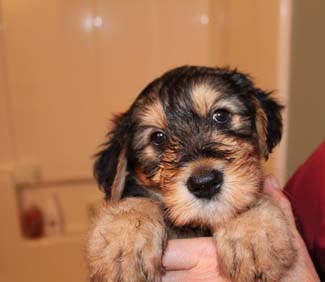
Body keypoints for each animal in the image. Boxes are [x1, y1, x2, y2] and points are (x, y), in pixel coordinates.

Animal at [86, 66, 296, 282]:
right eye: (158, 138)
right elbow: (132, 202)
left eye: (221, 116)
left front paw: (252, 232)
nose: (204, 183)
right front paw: (124, 242)